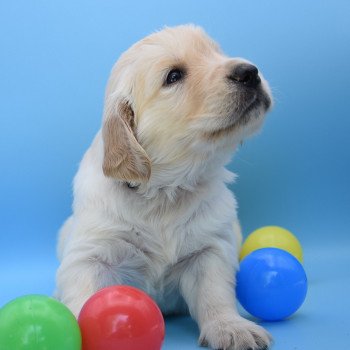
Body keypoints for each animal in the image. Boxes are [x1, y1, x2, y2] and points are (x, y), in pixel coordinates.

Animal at [55, 25, 274, 350]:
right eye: (173, 76)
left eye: (217, 53)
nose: (249, 71)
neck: (164, 192)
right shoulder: (91, 253)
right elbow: (84, 293)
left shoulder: (209, 249)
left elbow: (215, 293)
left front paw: (231, 327)